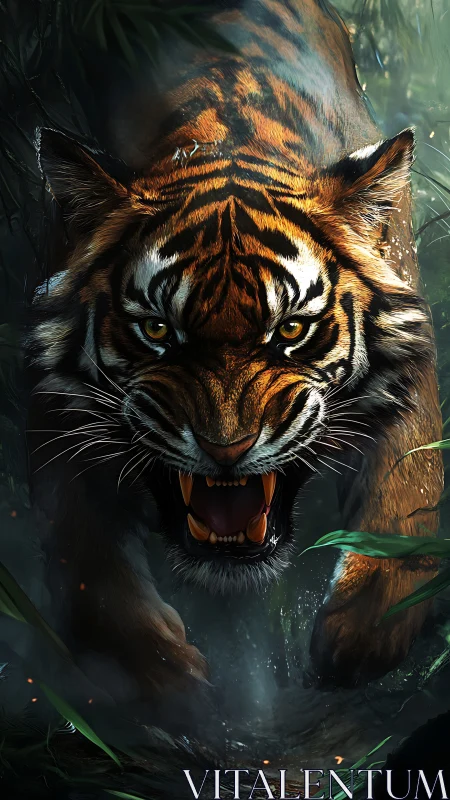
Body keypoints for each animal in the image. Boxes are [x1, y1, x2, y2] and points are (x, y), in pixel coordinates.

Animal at [28, 0, 443, 699]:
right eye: (158, 331)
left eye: (291, 332)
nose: (226, 452)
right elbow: (82, 552)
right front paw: (164, 677)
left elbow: (406, 497)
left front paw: (358, 638)